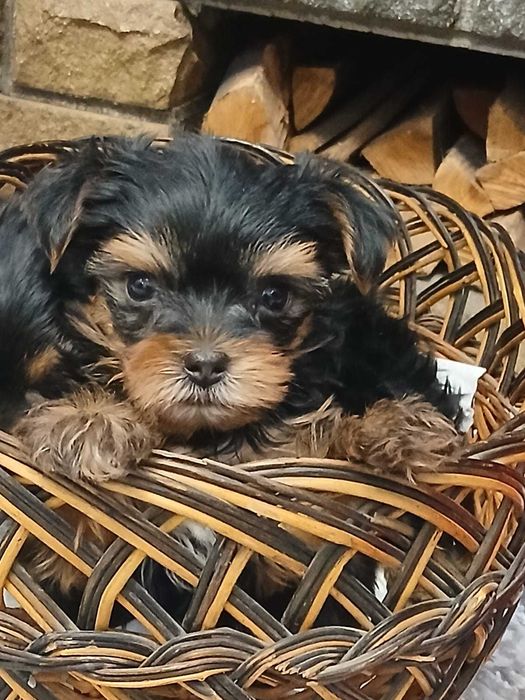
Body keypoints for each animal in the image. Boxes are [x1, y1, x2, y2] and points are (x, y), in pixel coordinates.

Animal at [0, 134, 462, 623]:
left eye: (274, 295)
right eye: (139, 286)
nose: (205, 364)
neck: (204, 438)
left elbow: (334, 502)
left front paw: (392, 430)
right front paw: (90, 421)